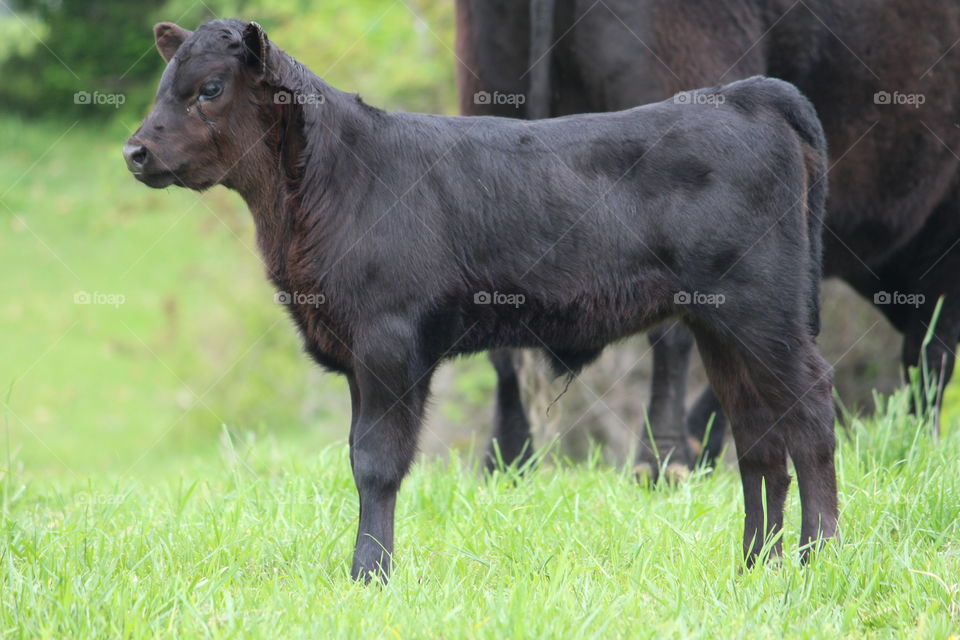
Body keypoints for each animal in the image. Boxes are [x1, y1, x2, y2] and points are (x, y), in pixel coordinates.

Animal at [124, 18, 837, 581]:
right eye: (164, 85)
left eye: (209, 88)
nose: (136, 151)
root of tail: (745, 94)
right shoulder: (354, 349)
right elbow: (357, 456)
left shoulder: (389, 340)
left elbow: (377, 462)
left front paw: (369, 576)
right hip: (721, 325)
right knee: (757, 436)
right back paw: (756, 564)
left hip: (765, 312)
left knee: (809, 414)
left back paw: (820, 557)